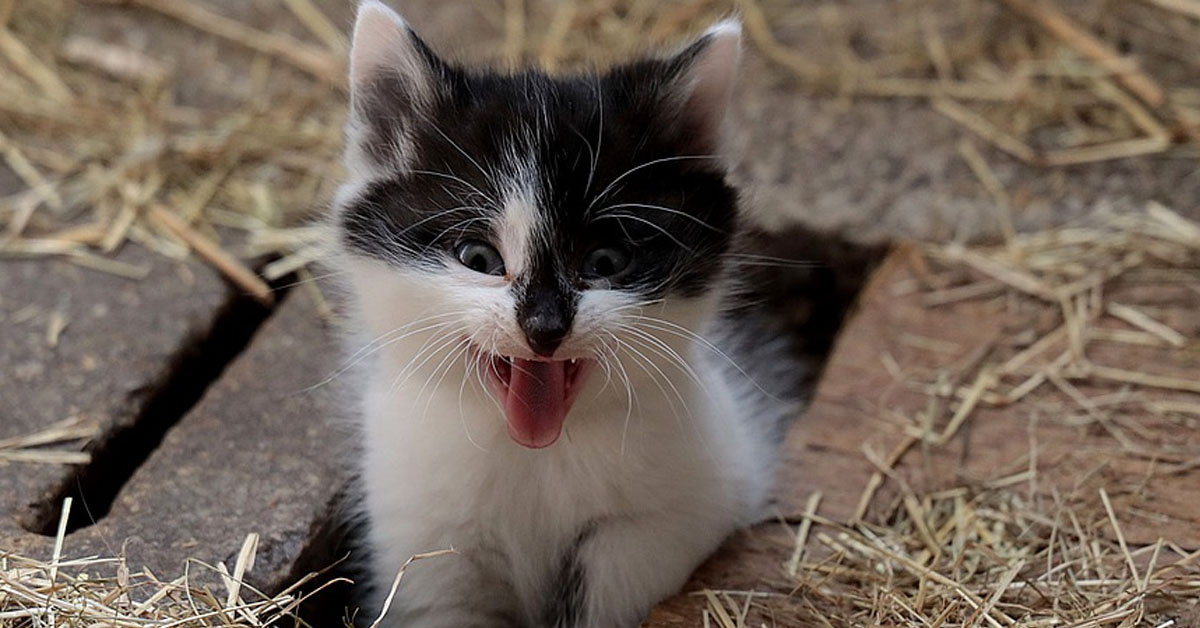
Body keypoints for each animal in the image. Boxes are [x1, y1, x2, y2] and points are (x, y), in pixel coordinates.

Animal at [328, 2, 806, 624]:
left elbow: (610, 580)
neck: (534, 456)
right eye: (477, 258)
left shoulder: (688, 502)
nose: (545, 327)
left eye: (605, 261)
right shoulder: (424, 542)